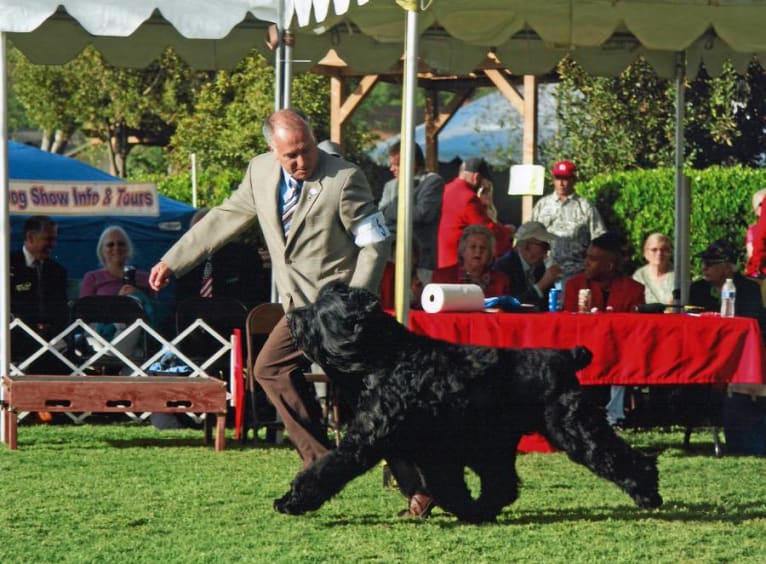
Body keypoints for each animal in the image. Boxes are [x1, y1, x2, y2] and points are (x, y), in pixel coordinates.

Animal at [278, 282, 664, 524]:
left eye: (319, 312)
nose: (292, 315)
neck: (389, 358)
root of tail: (566, 357)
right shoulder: (432, 451)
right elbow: (446, 485)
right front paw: (458, 508)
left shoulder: (365, 442)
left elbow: (326, 469)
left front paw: (291, 500)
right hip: (494, 445)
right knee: (502, 484)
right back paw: (482, 510)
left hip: (574, 429)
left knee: (618, 457)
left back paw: (648, 494)